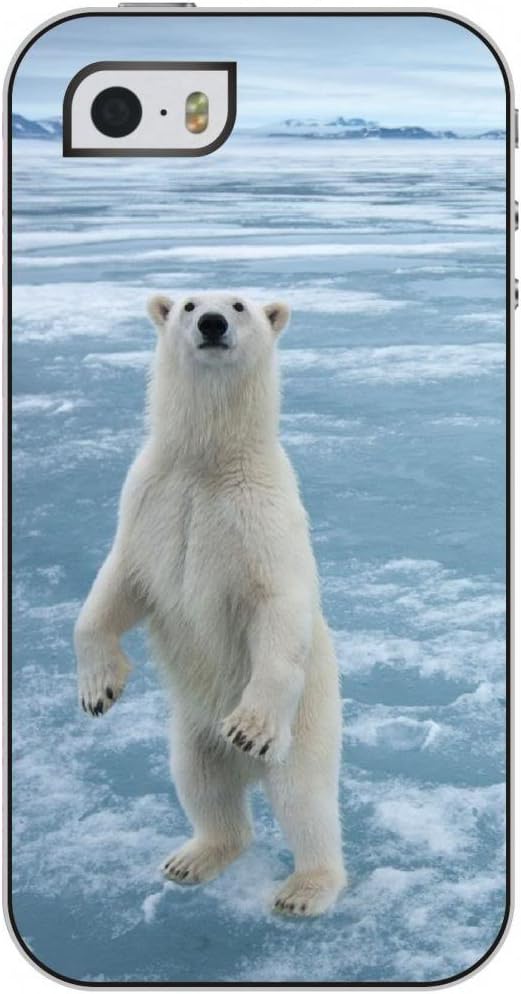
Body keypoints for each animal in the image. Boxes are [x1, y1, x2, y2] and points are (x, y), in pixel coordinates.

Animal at [75, 291, 346, 916]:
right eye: (189, 303)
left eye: (240, 304)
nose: (213, 323)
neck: (208, 462)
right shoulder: (150, 501)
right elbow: (117, 586)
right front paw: (99, 689)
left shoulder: (261, 517)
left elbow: (277, 606)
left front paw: (248, 726)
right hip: (191, 730)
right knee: (201, 784)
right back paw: (192, 858)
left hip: (309, 722)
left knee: (305, 799)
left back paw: (305, 888)